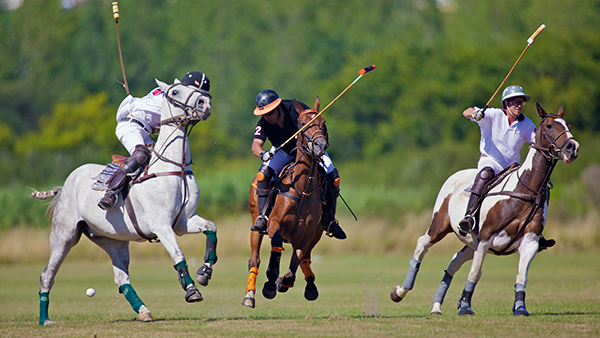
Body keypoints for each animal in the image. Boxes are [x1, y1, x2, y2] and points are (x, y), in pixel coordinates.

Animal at [244, 97, 328, 306]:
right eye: (302, 124)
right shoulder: (274, 224)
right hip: (255, 222)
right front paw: (270, 283)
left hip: (318, 233)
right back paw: (249, 295)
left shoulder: (307, 235)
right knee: (254, 259)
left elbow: (294, 266)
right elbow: (275, 251)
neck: (303, 189)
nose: (320, 146)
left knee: (306, 259)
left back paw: (310, 287)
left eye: (323, 123)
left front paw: (282, 283)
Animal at [392, 103, 580, 316]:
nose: (572, 148)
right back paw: (400, 291)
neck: (526, 189)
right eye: (549, 125)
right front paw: (465, 307)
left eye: (568, 125)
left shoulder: (530, 240)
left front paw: (520, 307)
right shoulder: (486, 236)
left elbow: (521, 276)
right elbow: (475, 273)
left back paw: (436, 306)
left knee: (454, 261)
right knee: (422, 243)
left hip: (470, 242)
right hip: (440, 225)